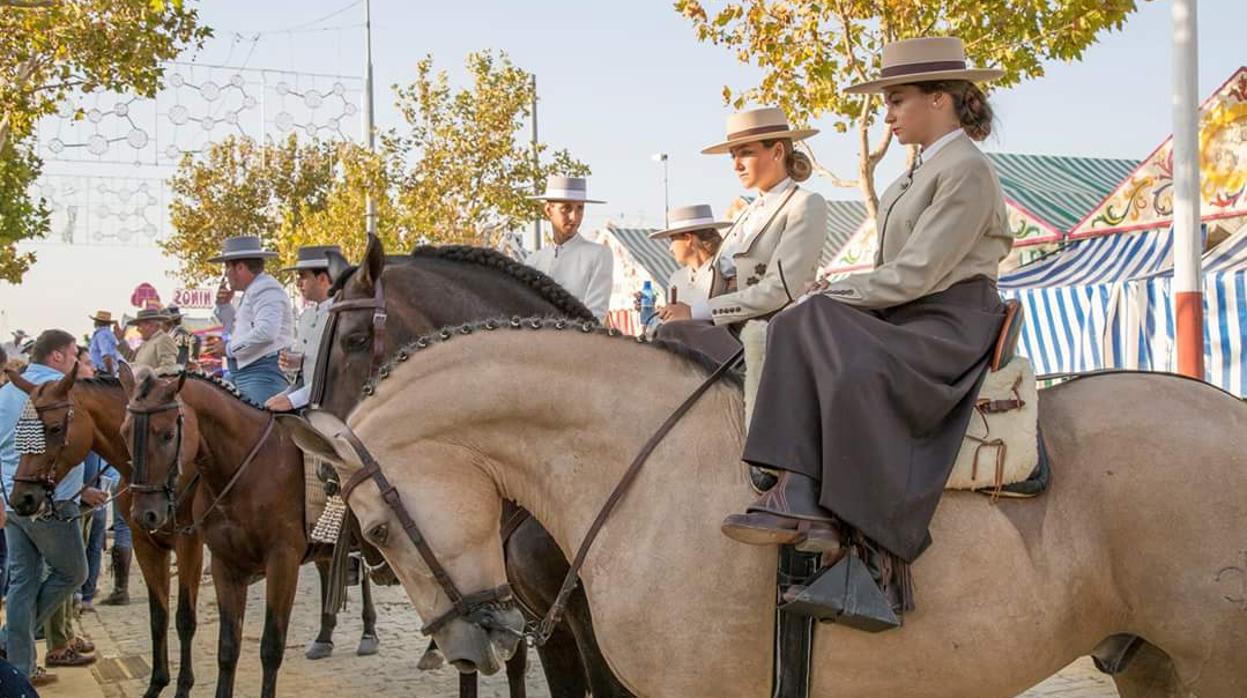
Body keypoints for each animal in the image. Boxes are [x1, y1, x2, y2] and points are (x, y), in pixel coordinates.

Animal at [3, 366, 379, 698]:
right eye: (125, 432)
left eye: (53, 428)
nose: (22, 497)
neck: (248, 469)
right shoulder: (156, 546)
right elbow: (170, 622)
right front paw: (157, 684)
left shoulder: (229, 552)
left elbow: (203, 624)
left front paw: (182, 687)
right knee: (331, 569)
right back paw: (324, 637)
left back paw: (368, 632)